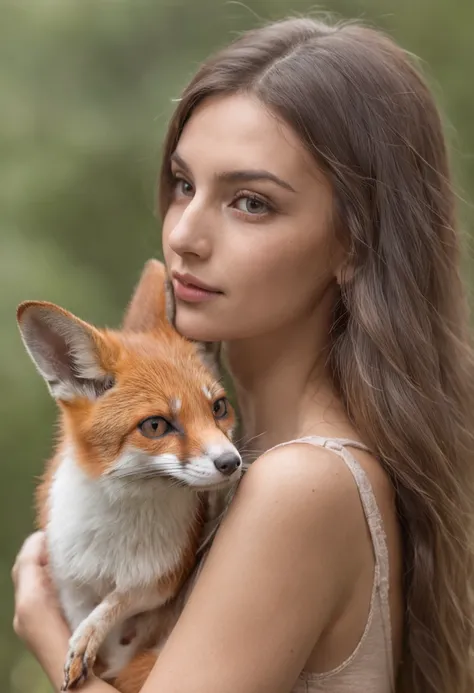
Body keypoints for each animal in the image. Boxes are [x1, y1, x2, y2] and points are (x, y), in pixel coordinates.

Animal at [16, 260, 243, 692]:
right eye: (155, 426)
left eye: (219, 408)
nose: (231, 463)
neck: (117, 541)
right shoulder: (68, 582)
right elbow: (91, 618)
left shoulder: (163, 577)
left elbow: (118, 602)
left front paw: (91, 638)